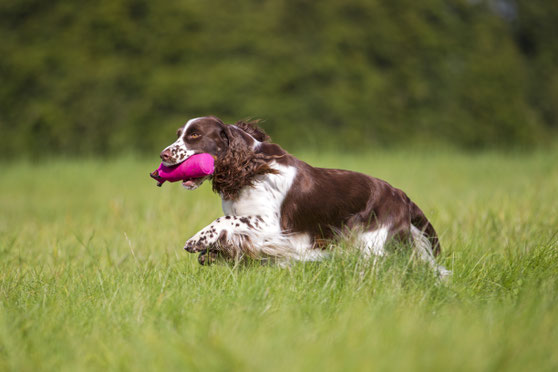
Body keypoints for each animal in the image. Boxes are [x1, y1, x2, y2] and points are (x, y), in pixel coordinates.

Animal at [160, 116, 452, 276]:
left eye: (194, 135)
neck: (250, 170)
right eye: (179, 134)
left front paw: (196, 241)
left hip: (374, 245)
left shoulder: (269, 225)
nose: (163, 154)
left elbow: (223, 223)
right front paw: (210, 251)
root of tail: (401, 195)